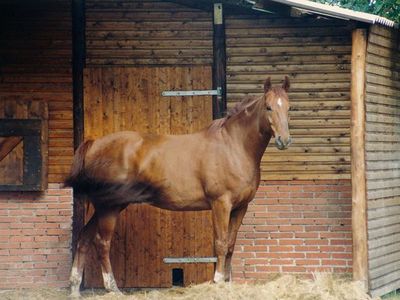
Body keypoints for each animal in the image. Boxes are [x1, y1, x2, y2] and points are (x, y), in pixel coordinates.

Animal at [65, 76, 290, 296]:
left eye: (289, 107)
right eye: (268, 107)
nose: (284, 141)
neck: (233, 146)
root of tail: (94, 144)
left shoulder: (240, 207)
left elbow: (231, 245)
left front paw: (227, 284)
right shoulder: (221, 204)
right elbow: (220, 243)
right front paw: (217, 282)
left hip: (106, 206)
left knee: (84, 238)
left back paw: (75, 288)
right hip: (108, 207)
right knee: (102, 242)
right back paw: (113, 288)